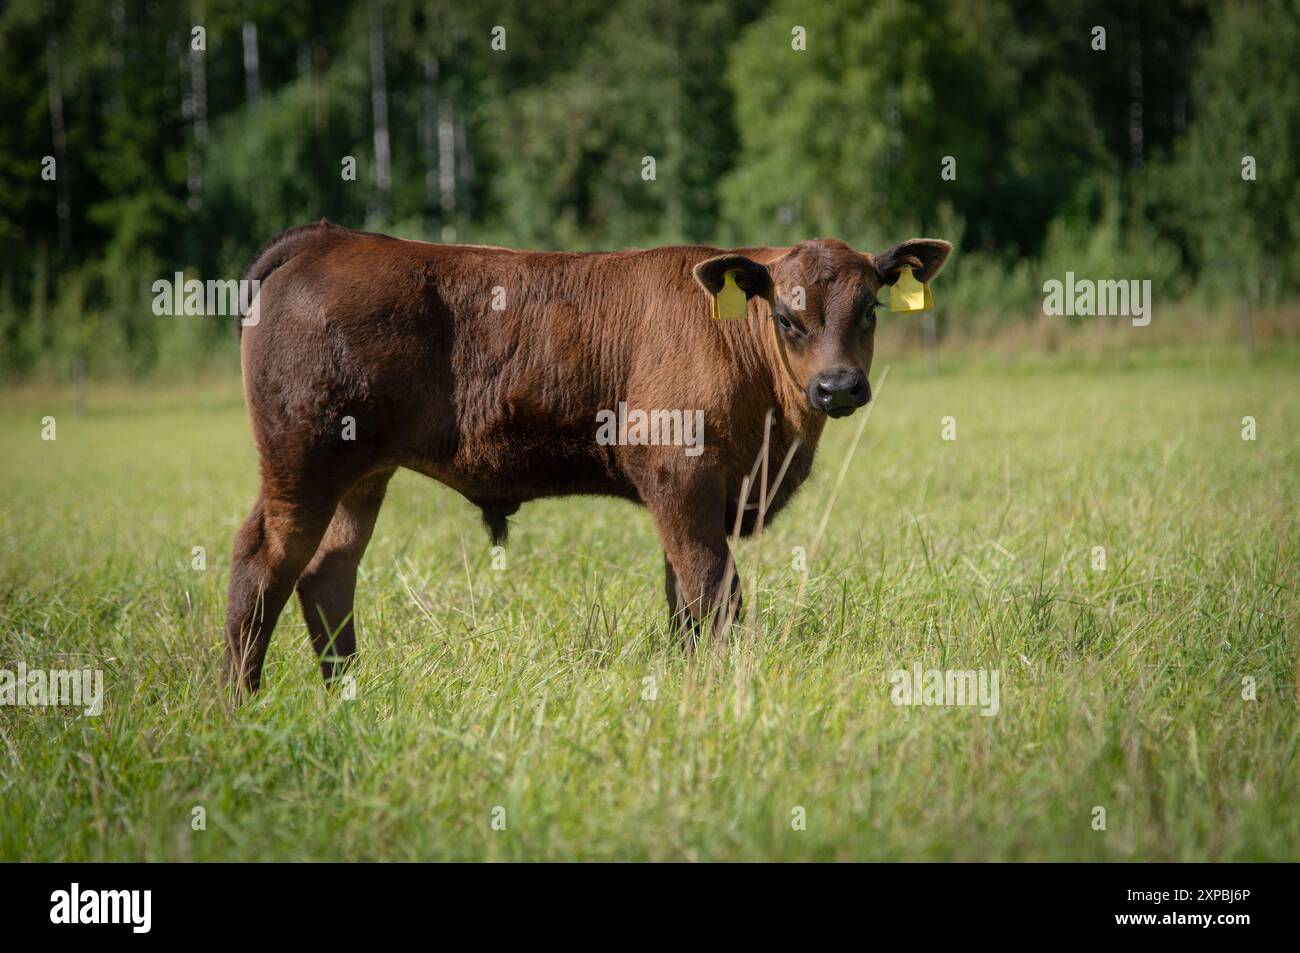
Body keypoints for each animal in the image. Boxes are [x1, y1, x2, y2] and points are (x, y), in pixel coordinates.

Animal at [225, 220, 951, 694]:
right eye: (787, 318)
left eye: (870, 307)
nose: (838, 386)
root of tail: (331, 238)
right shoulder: (681, 473)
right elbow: (715, 591)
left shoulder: (689, 493)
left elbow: (683, 599)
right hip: (304, 464)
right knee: (262, 564)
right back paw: (243, 702)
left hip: (361, 474)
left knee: (327, 573)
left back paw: (344, 694)